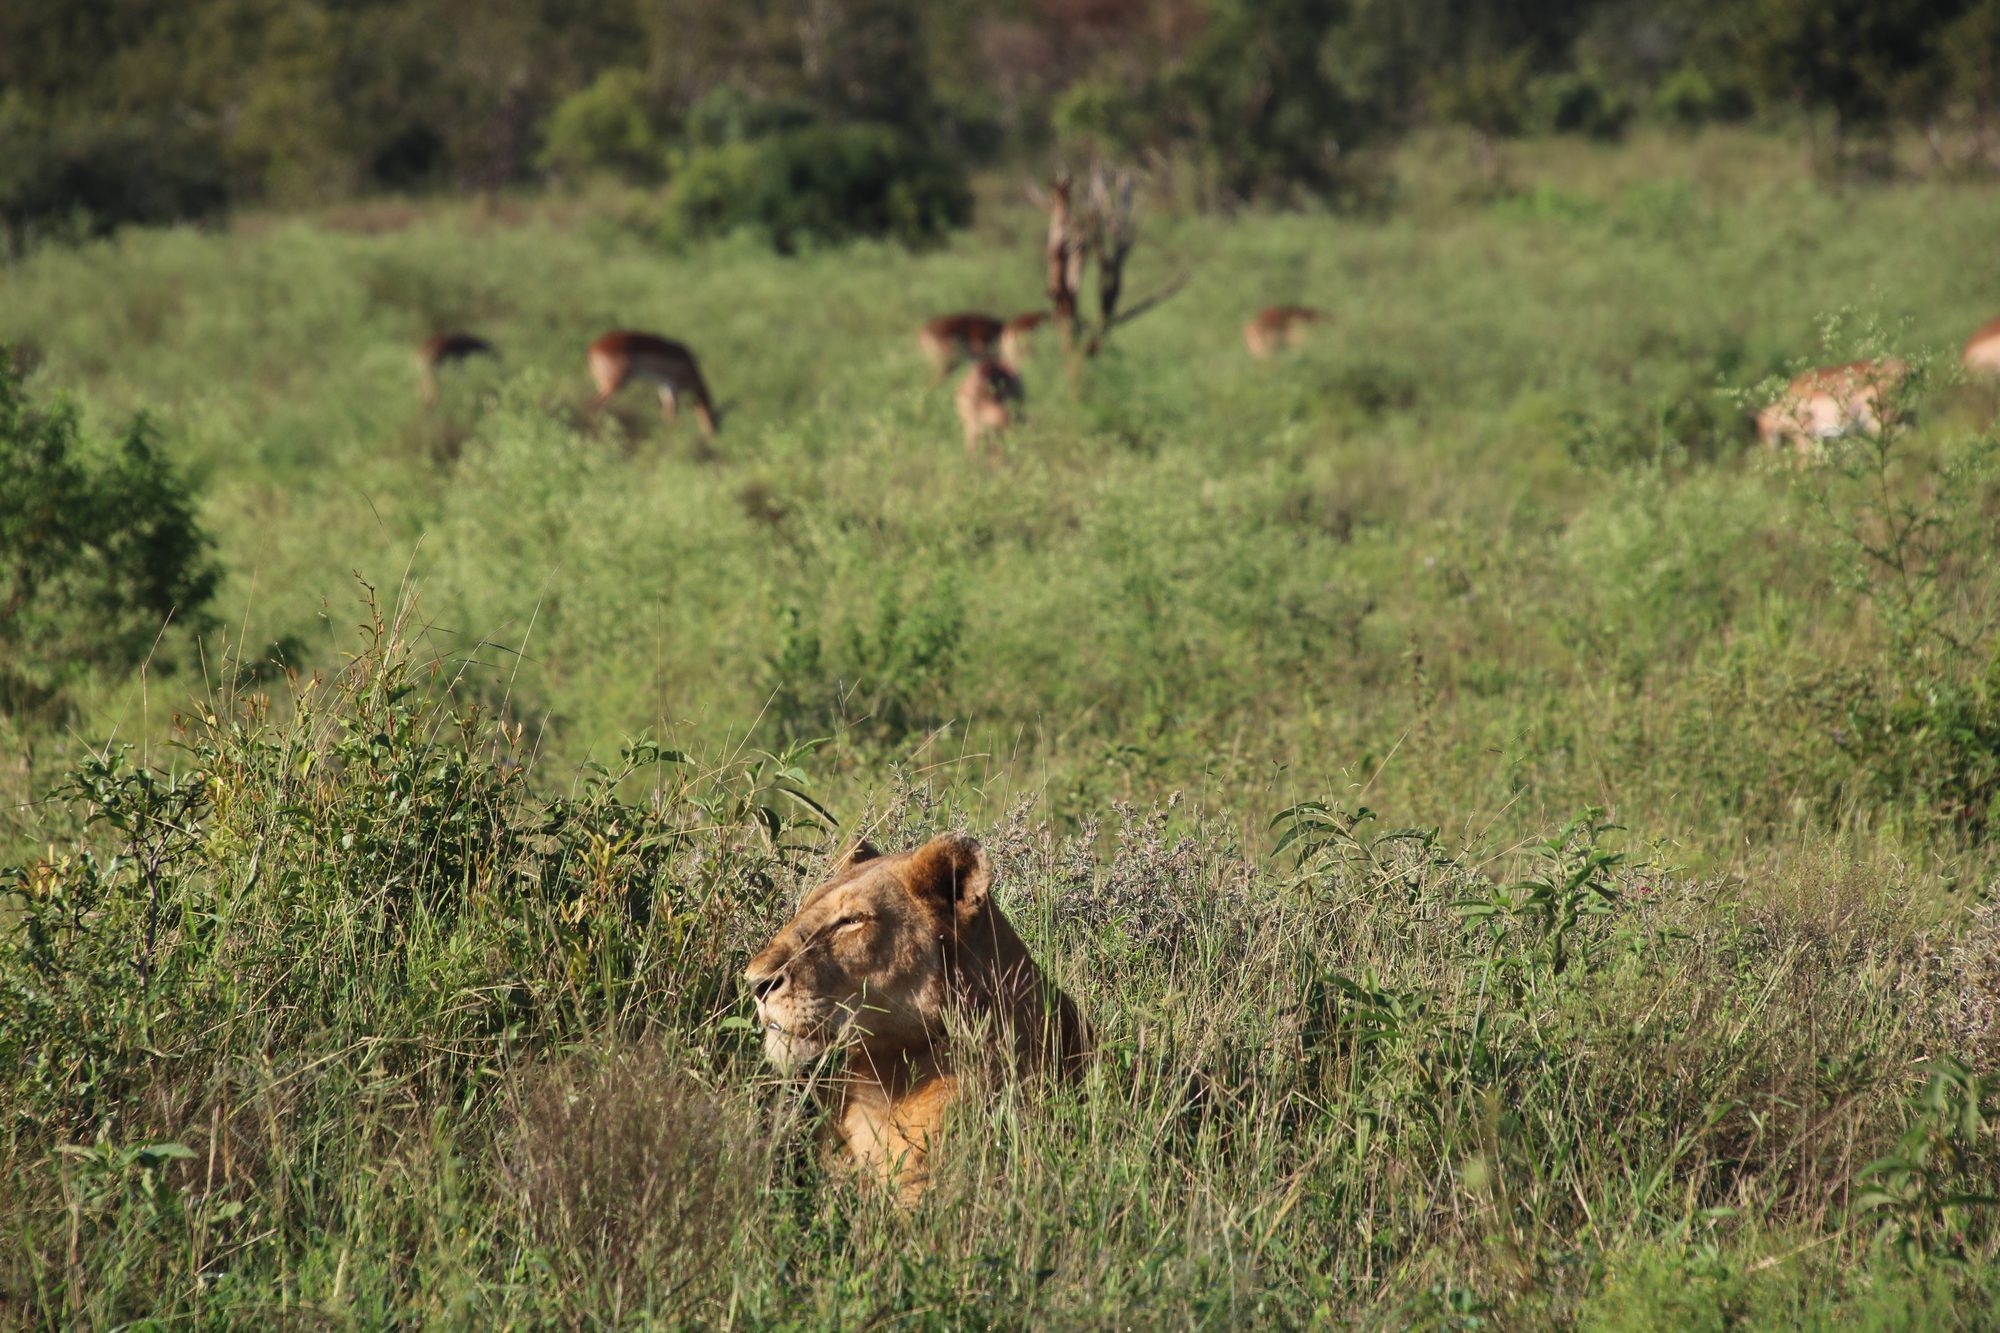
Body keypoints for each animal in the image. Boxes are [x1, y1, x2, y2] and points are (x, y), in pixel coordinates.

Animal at [587, 330, 719, 439]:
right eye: (711, 414)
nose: (712, 435)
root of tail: (593, 347)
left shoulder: (664, 387)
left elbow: (665, 413)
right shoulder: (675, 388)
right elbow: (672, 413)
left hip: (602, 384)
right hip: (614, 385)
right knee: (592, 405)